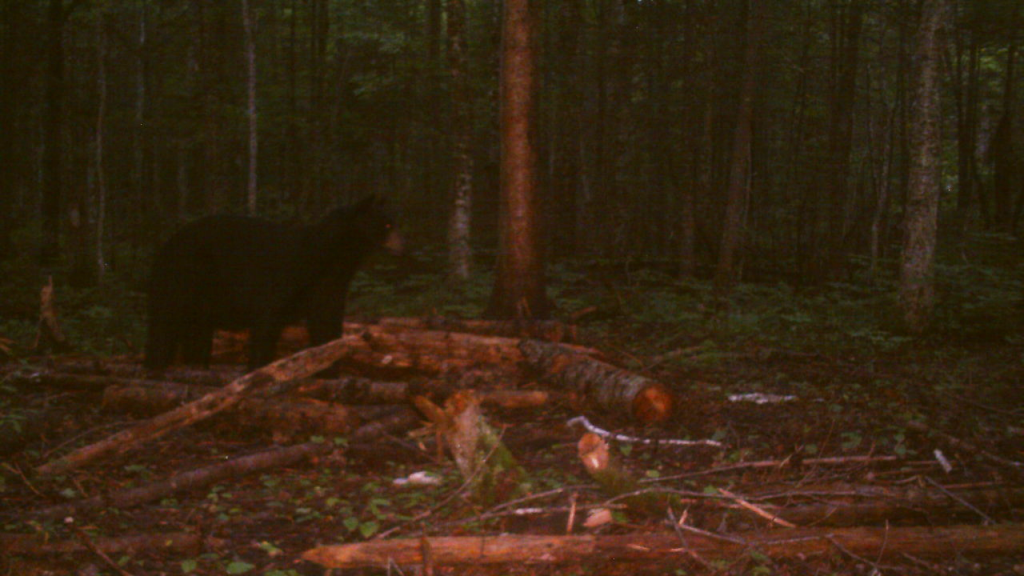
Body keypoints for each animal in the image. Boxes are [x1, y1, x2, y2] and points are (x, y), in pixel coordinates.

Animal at [144, 194, 402, 371]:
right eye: (387, 224)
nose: (403, 243)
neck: (327, 259)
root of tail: (165, 247)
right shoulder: (280, 280)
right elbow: (266, 325)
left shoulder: (329, 288)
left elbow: (326, 327)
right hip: (181, 281)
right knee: (163, 326)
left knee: (197, 334)